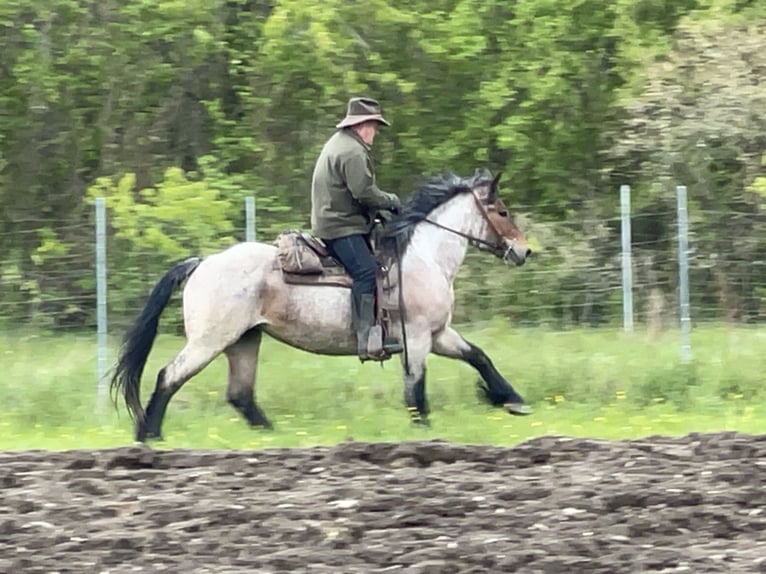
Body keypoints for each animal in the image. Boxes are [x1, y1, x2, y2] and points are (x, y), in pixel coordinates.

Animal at [111, 169, 536, 444]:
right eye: (501, 211)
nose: (524, 250)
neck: (422, 258)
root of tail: (201, 263)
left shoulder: (439, 334)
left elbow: (478, 356)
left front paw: (512, 400)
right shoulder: (416, 338)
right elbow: (416, 388)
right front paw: (425, 431)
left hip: (244, 341)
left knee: (240, 394)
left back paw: (274, 436)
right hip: (209, 341)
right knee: (169, 376)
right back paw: (149, 436)